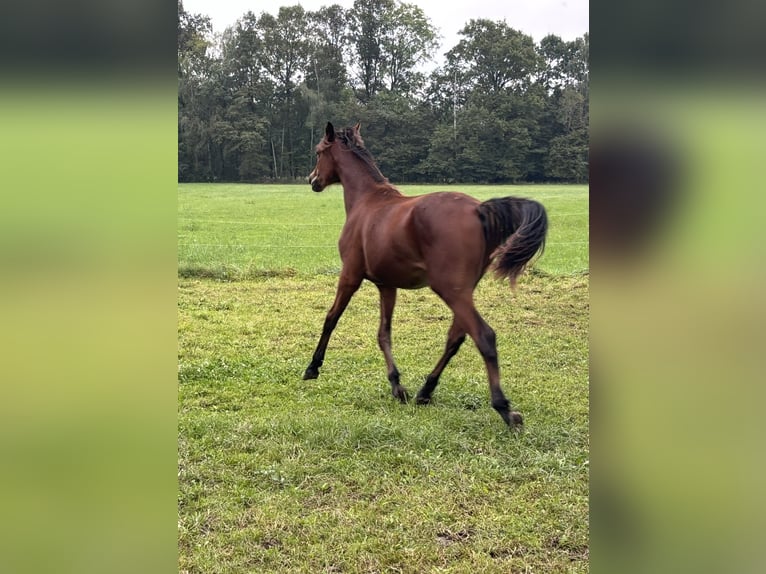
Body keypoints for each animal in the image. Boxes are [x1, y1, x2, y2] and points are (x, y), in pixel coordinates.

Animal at [304, 122, 548, 428]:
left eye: (318, 152)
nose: (312, 179)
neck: (367, 201)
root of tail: (478, 209)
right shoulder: (387, 285)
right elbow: (383, 333)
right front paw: (397, 385)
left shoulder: (350, 275)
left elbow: (331, 318)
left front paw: (312, 367)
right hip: (462, 290)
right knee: (456, 337)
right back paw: (425, 391)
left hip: (450, 290)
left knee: (484, 336)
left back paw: (504, 408)